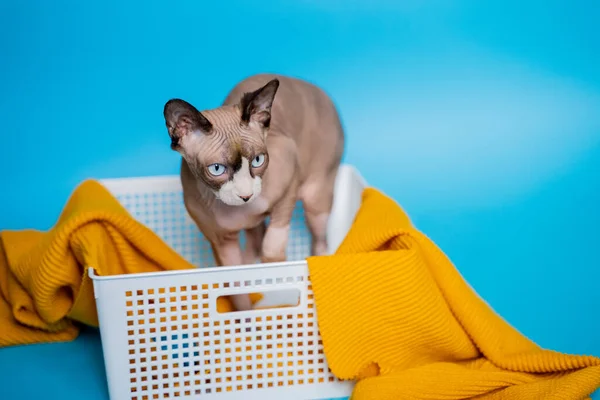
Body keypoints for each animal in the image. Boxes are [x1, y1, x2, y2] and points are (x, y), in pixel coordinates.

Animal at [162, 73, 344, 310]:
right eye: (217, 169)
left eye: (258, 160)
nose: (246, 195)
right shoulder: (222, 243)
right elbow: (237, 288)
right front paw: (246, 317)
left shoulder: (290, 180)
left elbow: (272, 252)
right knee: (254, 244)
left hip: (315, 199)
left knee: (319, 240)